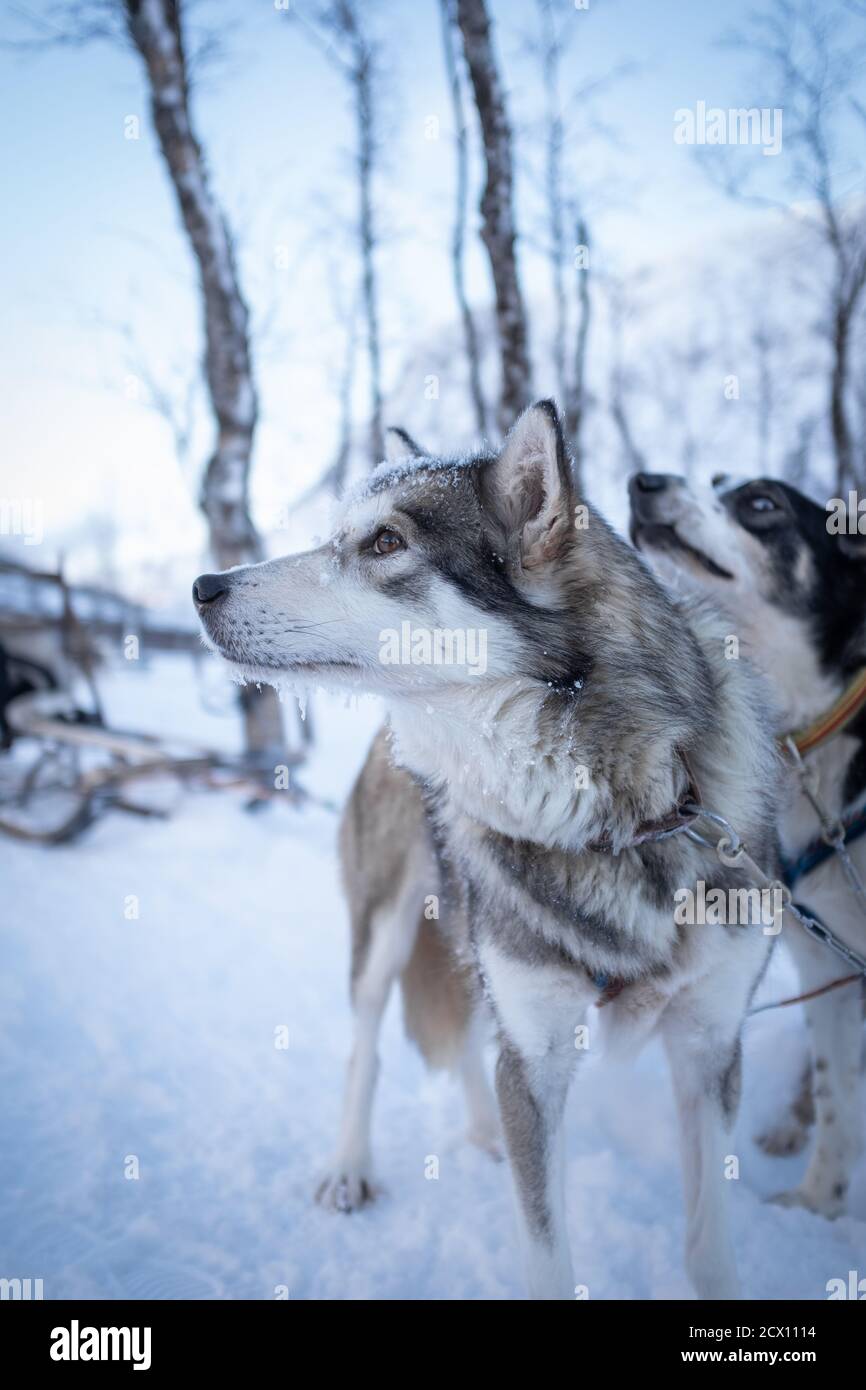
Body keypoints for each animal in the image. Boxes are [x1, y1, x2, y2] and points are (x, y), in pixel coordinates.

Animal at [631, 469, 866, 1217]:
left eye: (762, 503)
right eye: (712, 479)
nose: (643, 480)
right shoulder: (822, 960)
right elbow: (836, 1091)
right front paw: (818, 1204)